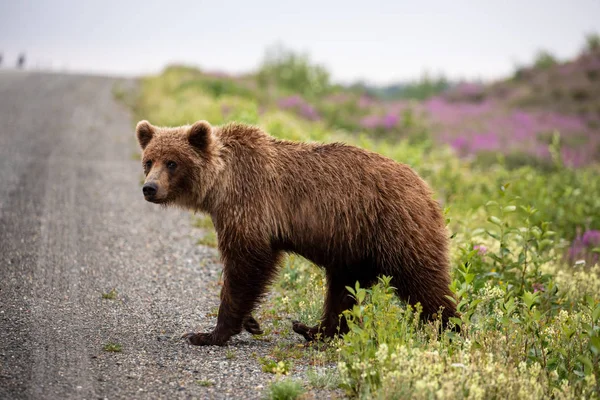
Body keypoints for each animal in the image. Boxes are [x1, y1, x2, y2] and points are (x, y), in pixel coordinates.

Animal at [135, 119, 454, 346]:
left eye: (172, 162)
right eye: (149, 161)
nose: (150, 188)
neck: (220, 184)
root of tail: (427, 189)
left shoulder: (249, 203)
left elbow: (246, 262)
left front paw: (209, 334)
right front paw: (250, 321)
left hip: (396, 228)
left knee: (423, 282)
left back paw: (450, 329)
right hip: (354, 244)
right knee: (344, 289)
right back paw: (314, 329)